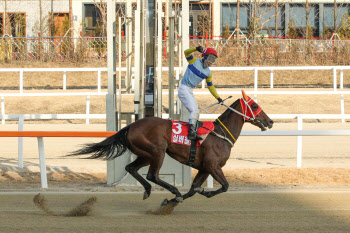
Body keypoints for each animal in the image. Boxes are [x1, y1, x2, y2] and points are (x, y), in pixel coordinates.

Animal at [69, 90, 274, 205]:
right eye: (255, 105)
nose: (270, 121)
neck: (220, 135)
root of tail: (130, 126)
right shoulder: (213, 166)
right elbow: (225, 186)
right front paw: (202, 193)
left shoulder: (204, 168)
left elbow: (193, 189)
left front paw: (175, 200)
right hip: (157, 152)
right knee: (152, 175)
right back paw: (171, 189)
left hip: (145, 154)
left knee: (131, 168)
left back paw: (148, 190)